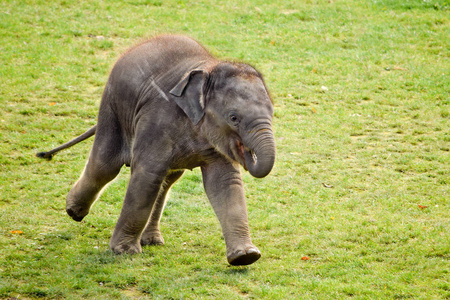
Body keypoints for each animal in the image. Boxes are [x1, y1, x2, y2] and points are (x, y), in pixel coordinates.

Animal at [38, 34, 276, 264]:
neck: (209, 68)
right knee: (105, 166)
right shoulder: (157, 121)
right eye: (233, 118)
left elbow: (225, 182)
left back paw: (151, 240)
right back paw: (74, 212)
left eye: (272, 113)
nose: (247, 153)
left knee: (167, 179)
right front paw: (125, 252)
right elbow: (146, 175)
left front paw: (246, 257)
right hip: (112, 108)